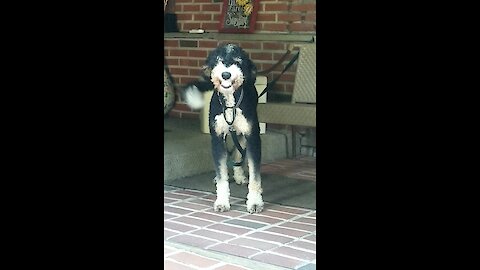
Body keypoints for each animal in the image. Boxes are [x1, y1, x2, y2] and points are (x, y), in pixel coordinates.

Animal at [183, 43, 264, 213]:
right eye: (218, 60)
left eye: (238, 61)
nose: (226, 74)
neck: (230, 101)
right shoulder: (217, 138)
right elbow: (221, 174)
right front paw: (222, 201)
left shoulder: (253, 137)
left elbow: (255, 176)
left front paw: (254, 202)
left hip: (241, 134)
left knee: (239, 154)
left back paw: (239, 176)